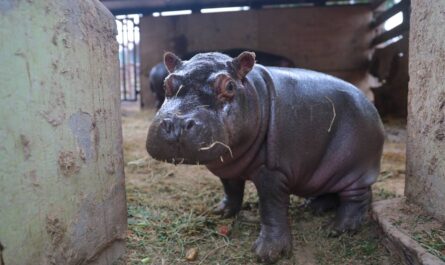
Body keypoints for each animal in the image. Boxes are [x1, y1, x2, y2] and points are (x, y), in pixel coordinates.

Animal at [145, 51, 382, 262]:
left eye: (229, 86)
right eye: (166, 84)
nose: (176, 124)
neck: (253, 92)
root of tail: (371, 105)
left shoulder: (273, 173)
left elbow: (271, 208)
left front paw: (268, 253)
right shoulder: (228, 166)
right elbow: (231, 190)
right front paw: (220, 211)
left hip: (354, 168)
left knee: (358, 197)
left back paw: (338, 228)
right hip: (325, 170)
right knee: (332, 192)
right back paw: (313, 207)